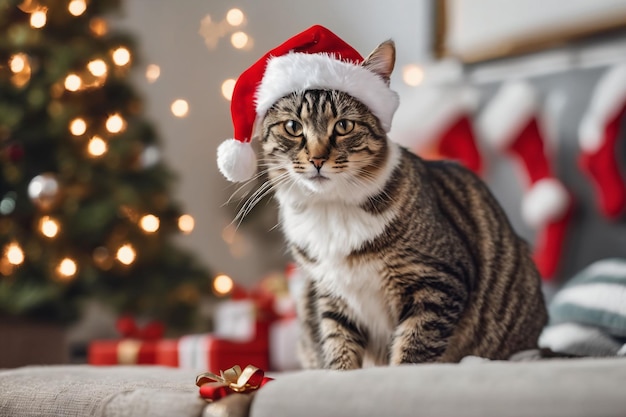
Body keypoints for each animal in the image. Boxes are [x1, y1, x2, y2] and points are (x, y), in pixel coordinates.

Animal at [251, 39, 544, 370]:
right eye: (292, 126)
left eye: (344, 126)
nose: (316, 159)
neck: (331, 208)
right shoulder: (330, 294)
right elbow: (337, 342)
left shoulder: (437, 281)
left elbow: (413, 350)